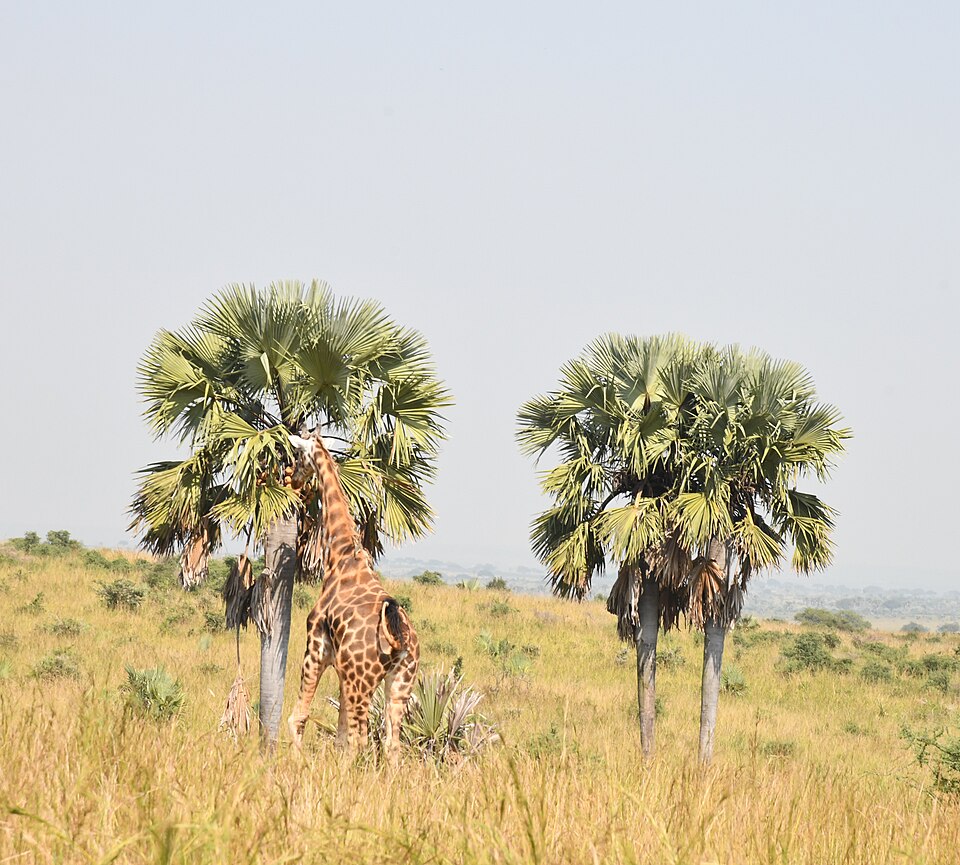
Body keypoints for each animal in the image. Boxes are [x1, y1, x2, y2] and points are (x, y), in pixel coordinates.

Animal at [286, 431, 419, 763]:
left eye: (299, 455)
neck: (341, 556)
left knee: (361, 739)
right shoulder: (341, 667)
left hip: (362, 681)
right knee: (391, 743)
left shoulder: (316, 648)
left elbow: (300, 718)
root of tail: (399, 639)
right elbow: (340, 735)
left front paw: (295, 763)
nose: (290, 476)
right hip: (400, 682)